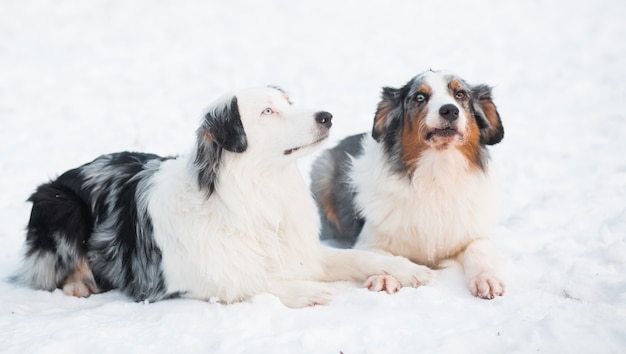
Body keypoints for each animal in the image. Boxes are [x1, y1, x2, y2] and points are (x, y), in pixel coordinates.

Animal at [15, 85, 434, 306]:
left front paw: (404, 269)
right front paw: (308, 291)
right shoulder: (194, 278)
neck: (258, 194)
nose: (326, 116)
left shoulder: (302, 253)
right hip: (59, 203)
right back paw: (79, 283)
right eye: (267, 112)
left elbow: (361, 257)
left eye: (290, 103)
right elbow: (253, 280)